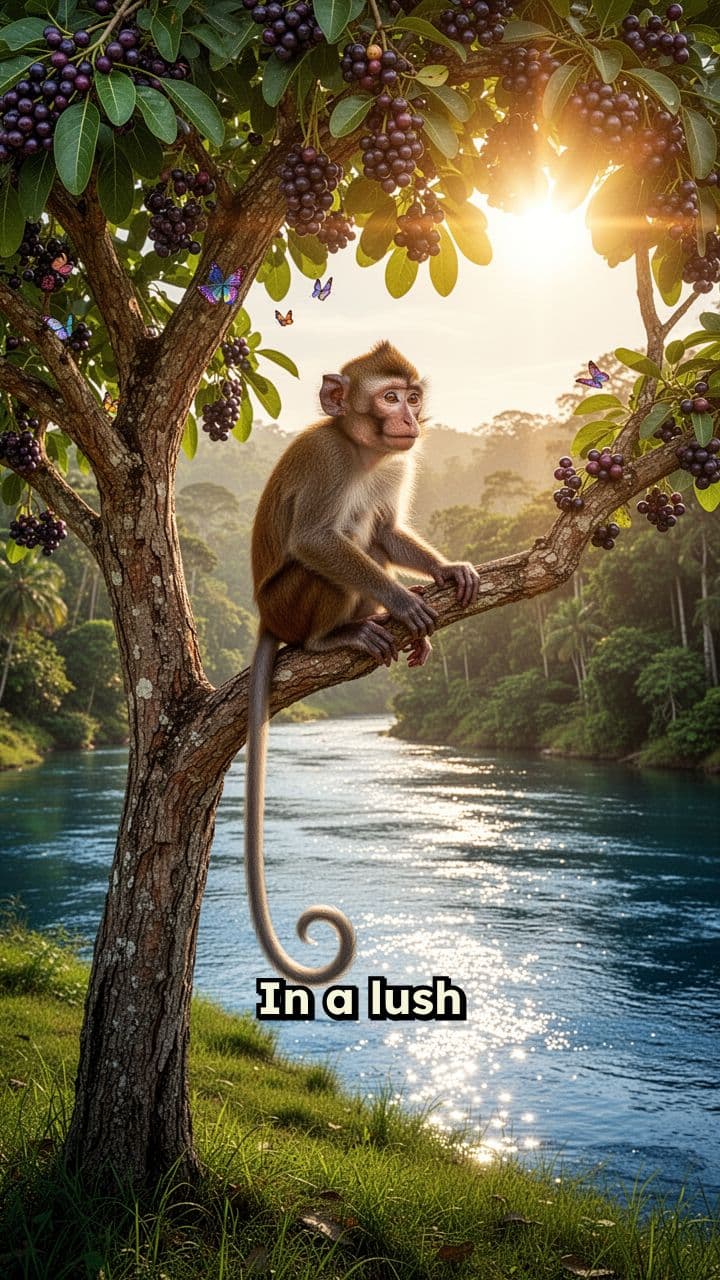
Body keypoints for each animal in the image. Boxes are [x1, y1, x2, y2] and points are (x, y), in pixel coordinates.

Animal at [245, 341, 480, 985]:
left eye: (413, 396)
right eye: (389, 396)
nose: (409, 418)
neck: (362, 451)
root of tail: (266, 618)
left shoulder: (397, 464)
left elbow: (391, 530)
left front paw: (445, 571)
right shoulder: (326, 458)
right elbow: (315, 540)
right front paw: (401, 600)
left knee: (370, 531)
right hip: (288, 605)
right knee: (339, 542)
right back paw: (332, 638)